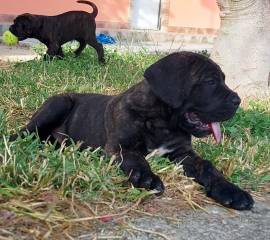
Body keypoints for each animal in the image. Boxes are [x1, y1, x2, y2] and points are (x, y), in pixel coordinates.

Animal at [10, 51, 254, 209]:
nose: (238, 101)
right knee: (25, 132)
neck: (163, 122)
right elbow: (137, 159)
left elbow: (208, 167)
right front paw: (147, 178)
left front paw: (231, 190)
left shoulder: (182, 153)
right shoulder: (120, 147)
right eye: (210, 81)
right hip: (57, 104)